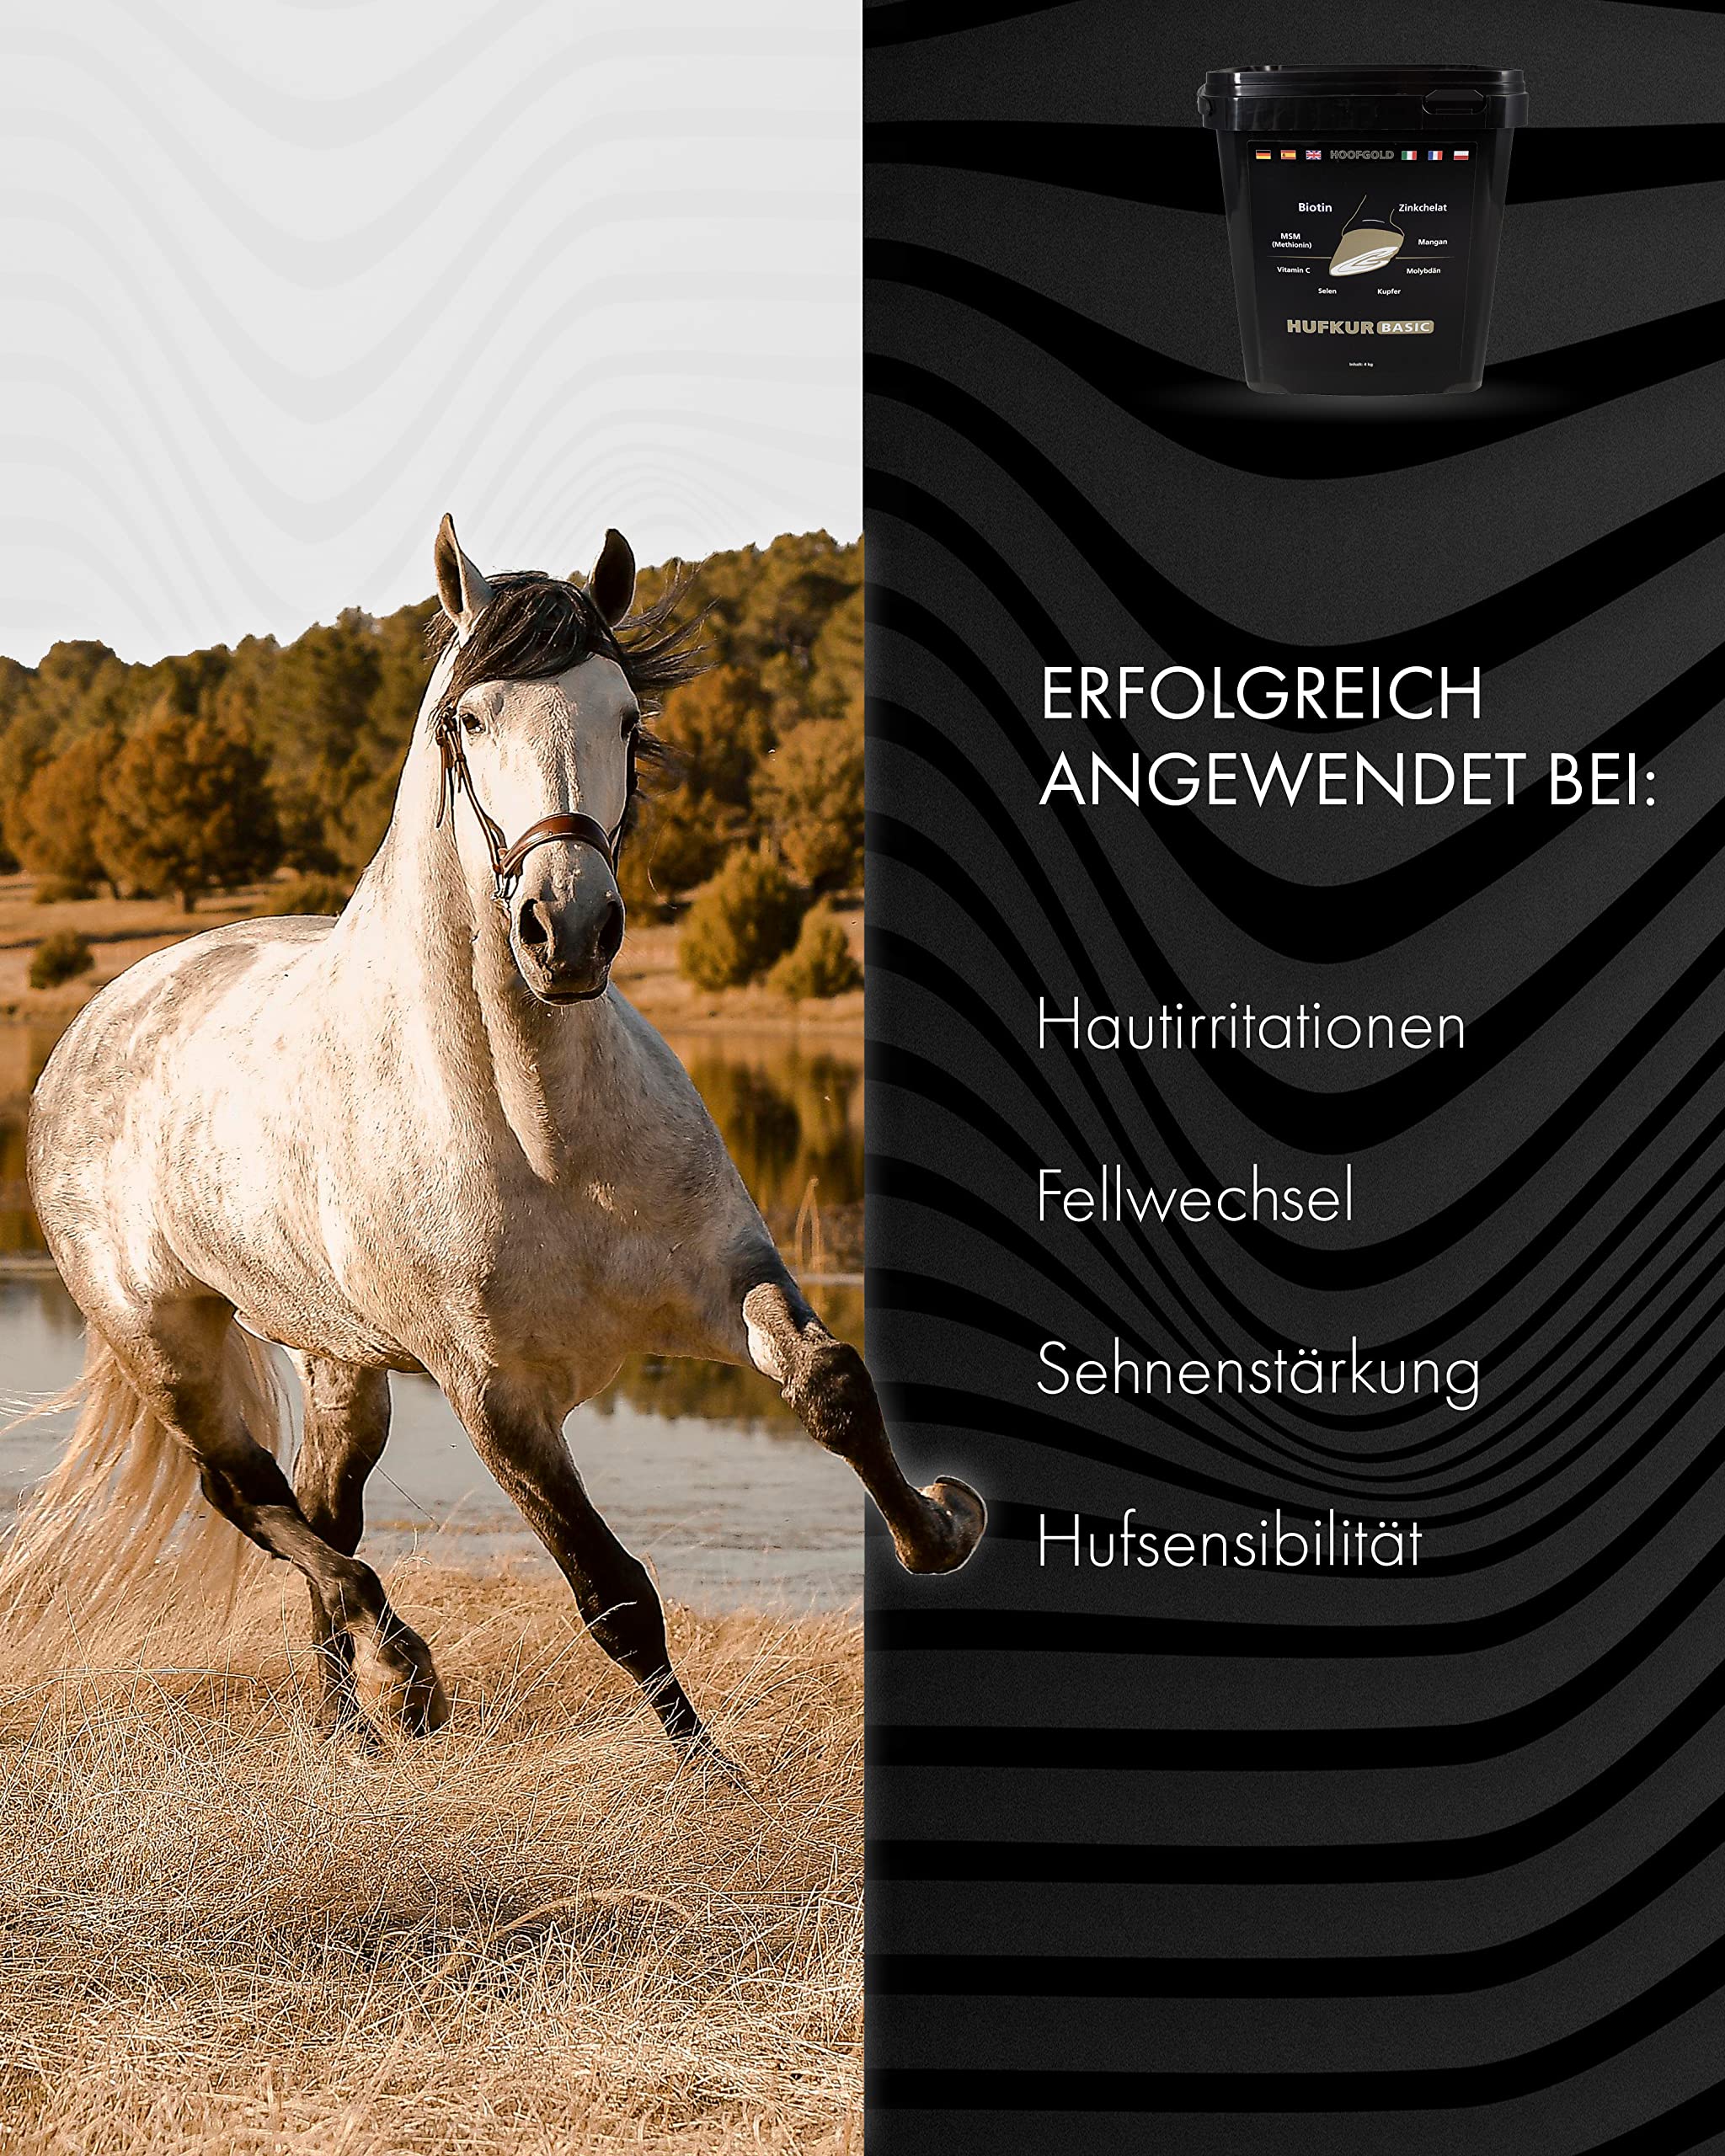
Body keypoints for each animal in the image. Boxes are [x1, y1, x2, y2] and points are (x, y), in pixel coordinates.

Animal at [15, 515, 984, 1753]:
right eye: (468, 720)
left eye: (625, 715)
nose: (565, 927)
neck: (541, 1130)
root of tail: (99, 1016)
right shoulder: (496, 1397)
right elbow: (614, 1596)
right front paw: (717, 1782)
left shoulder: (726, 1278)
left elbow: (832, 1386)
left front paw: (940, 1527)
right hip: (165, 1339)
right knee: (248, 1496)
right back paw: (402, 1675)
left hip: (341, 1358)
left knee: (323, 1504)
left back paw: (348, 1732)